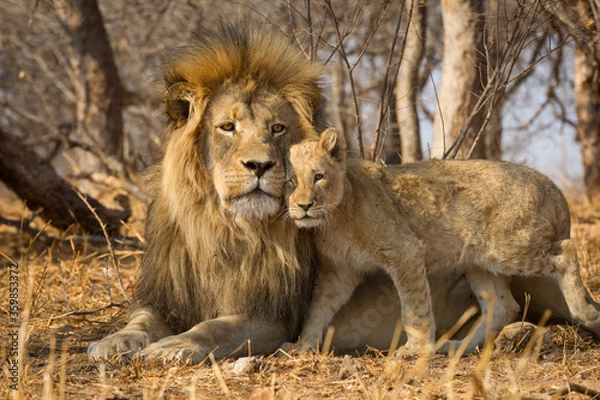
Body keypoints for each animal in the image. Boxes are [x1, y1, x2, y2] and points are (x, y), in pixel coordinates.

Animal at [284, 127, 600, 354]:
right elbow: (318, 308)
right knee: (503, 306)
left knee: (566, 251)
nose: (304, 206)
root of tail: (554, 188)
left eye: (318, 176)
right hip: (480, 262)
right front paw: (303, 345)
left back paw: (585, 311)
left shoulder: (404, 251)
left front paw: (415, 349)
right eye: (290, 182)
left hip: (509, 247)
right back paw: (456, 347)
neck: (334, 219)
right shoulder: (340, 270)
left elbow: (414, 305)